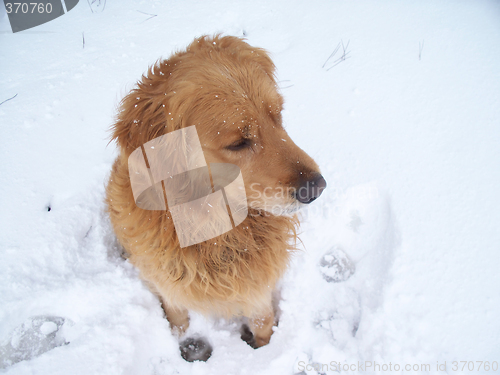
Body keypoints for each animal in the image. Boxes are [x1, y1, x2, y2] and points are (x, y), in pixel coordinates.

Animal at [106, 34, 326, 362]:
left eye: (278, 116)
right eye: (238, 143)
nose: (317, 187)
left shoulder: (257, 288)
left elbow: (262, 323)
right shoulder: (169, 288)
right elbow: (178, 320)